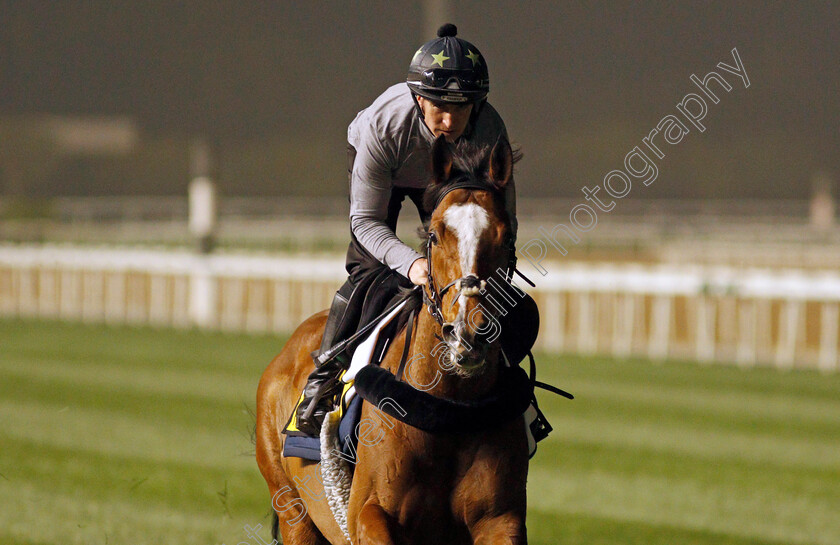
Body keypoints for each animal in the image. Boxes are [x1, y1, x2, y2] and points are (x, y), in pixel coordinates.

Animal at [258, 133, 532, 544]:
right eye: (434, 234)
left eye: (507, 235)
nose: (467, 333)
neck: (449, 409)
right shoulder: (368, 511)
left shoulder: (501, 518)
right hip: (292, 510)